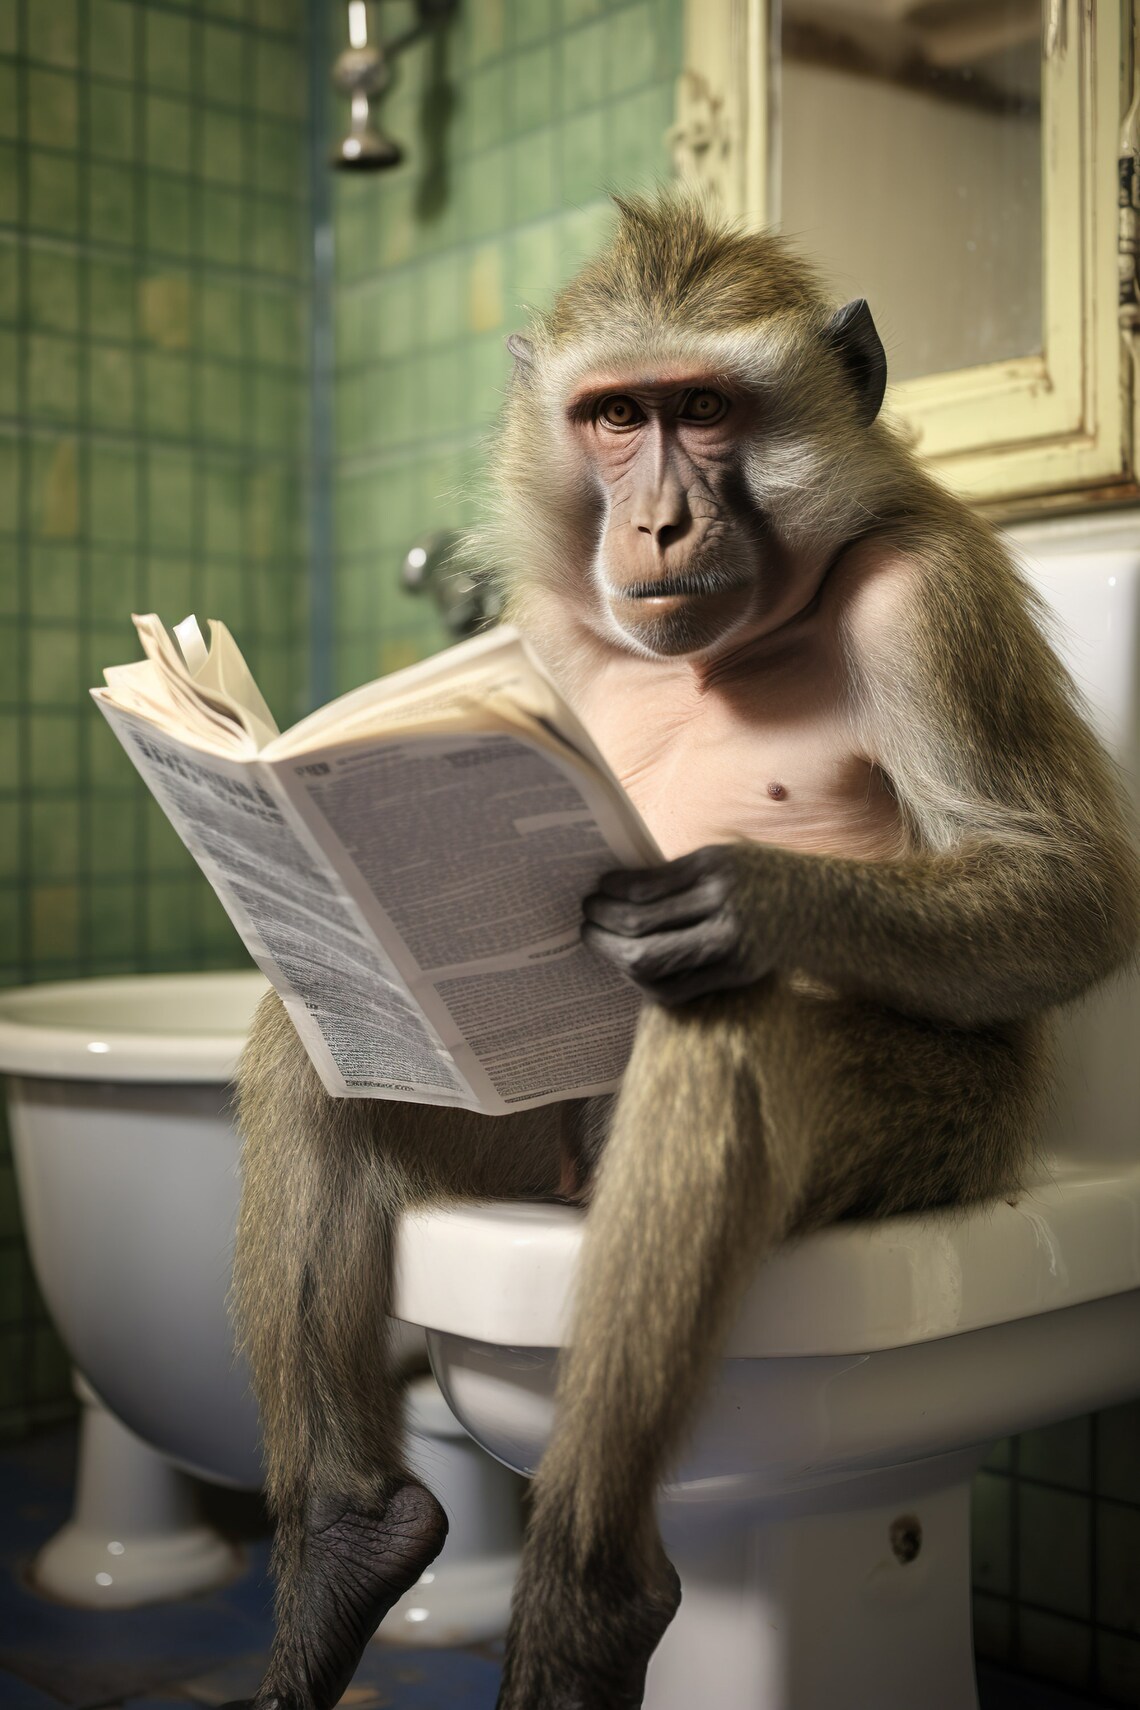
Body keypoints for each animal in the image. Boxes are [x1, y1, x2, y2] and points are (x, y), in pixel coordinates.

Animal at [222, 194, 1140, 1710]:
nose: (657, 518)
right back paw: (352, 1543)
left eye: (705, 409)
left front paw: (737, 899)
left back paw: (592, 1597)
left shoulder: (930, 595)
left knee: (723, 1035)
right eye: (615, 414)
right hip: (521, 1158)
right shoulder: (537, 635)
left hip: (946, 1144)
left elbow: (1070, 892)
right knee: (322, 1036)